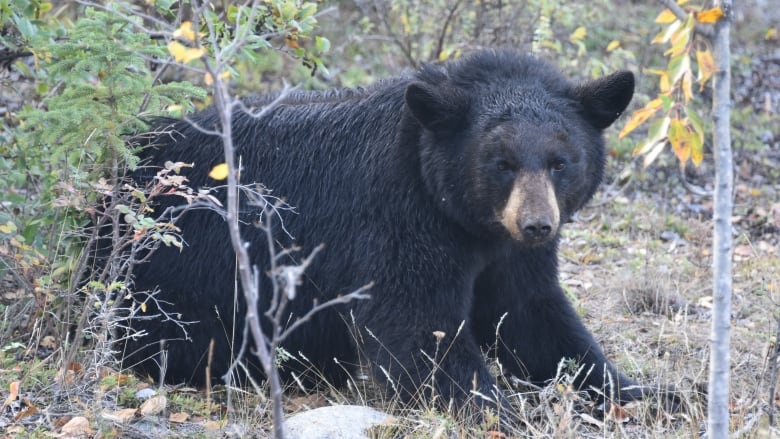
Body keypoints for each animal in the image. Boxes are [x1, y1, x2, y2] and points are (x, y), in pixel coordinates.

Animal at [125, 49, 648, 410]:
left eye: (561, 162)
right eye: (502, 163)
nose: (537, 224)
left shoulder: (509, 252)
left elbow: (533, 317)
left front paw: (641, 391)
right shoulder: (398, 217)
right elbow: (416, 324)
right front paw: (494, 406)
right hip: (179, 275)